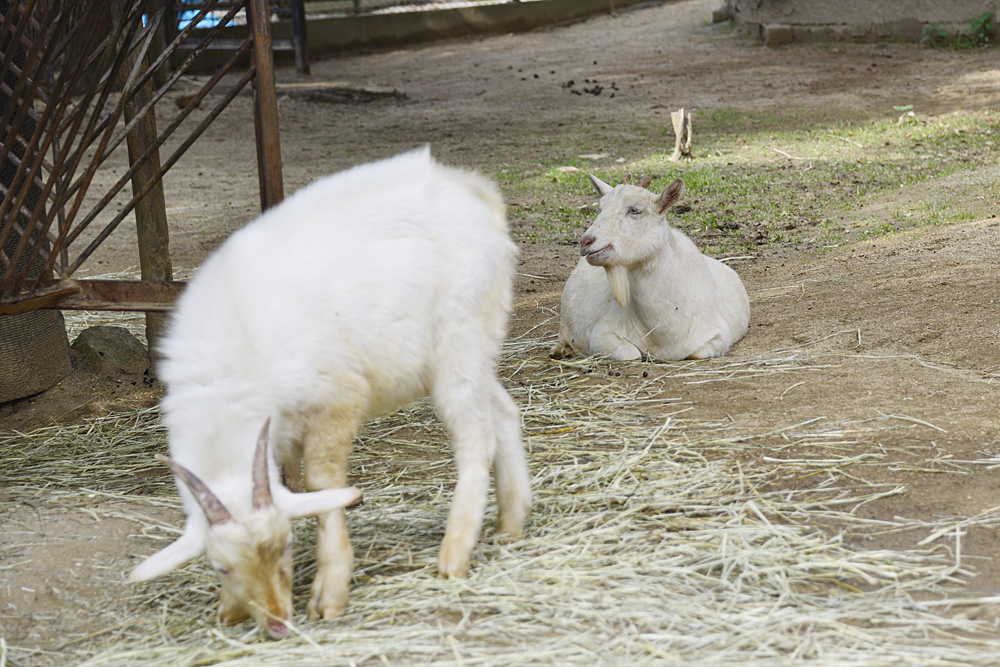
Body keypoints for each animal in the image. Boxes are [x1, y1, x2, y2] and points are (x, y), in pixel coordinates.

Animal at [134, 149, 540, 640]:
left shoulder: (337, 399)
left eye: (287, 543)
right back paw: (512, 522)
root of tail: (476, 193)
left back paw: (455, 552)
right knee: (504, 413)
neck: (226, 376)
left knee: (475, 438)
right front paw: (231, 610)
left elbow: (322, 484)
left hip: (458, 341)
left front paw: (330, 591)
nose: (278, 624)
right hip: (475, 344)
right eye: (221, 568)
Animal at [552, 172, 748, 360]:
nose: (585, 241)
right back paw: (560, 350)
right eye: (600, 208)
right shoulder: (602, 334)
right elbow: (630, 354)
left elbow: (698, 353)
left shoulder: (718, 335)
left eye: (635, 210)